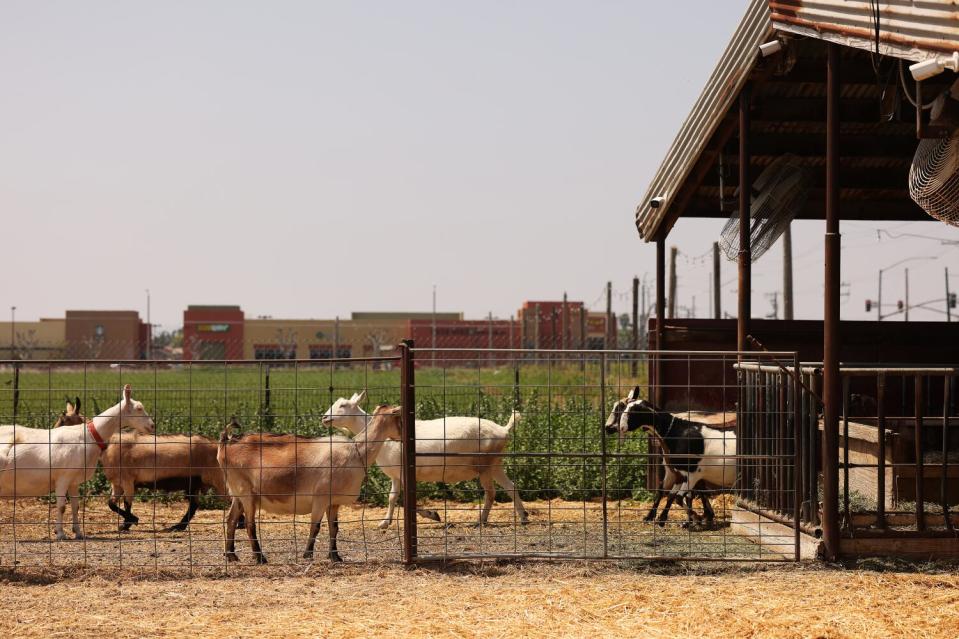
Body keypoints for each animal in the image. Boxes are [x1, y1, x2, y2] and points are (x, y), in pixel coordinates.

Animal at [0, 384, 154, 540]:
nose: (152, 426)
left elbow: (75, 506)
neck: (88, 436)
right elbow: (62, 506)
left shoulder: (73, 481)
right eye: (139, 408)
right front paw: (60, 534)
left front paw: (78, 532)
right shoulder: (62, 477)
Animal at [100, 430, 244, 536]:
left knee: (235, 499)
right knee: (194, 505)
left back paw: (240, 524)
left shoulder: (128, 481)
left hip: (219, 479)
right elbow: (111, 504)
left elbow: (127, 504)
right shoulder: (117, 484)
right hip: (195, 483)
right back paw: (178, 527)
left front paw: (129, 523)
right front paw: (127, 524)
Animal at [218, 404, 404, 564]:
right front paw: (308, 554)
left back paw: (231, 555)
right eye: (399, 418)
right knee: (250, 525)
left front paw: (335, 556)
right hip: (246, 491)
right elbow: (315, 527)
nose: (403, 437)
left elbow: (334, 528)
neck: (355, 453)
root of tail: (226, 443)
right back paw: (260, 557)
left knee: (231, 519)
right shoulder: (320, 498)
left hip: (237, 493)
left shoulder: (333, 502)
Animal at [326, 390, 528, 528]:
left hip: (485, 463)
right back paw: (523, 517)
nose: (324, 418)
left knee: (490, 492)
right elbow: (392, 497)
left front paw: (432, 514)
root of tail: (503, 430)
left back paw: (480, 521)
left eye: (343, 405)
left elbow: (407, 499)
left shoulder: (404, 471)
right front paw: (385, 522)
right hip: (495, 463)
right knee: (511, 486)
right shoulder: (396, 474)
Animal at [604, 388, 740, 528]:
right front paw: (660, 519)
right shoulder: (678, 473)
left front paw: (696, 518)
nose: (609, 428)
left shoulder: (693, 474)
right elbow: (670, 494)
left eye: (633, 411)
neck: (676, 432)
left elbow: (680, 497)